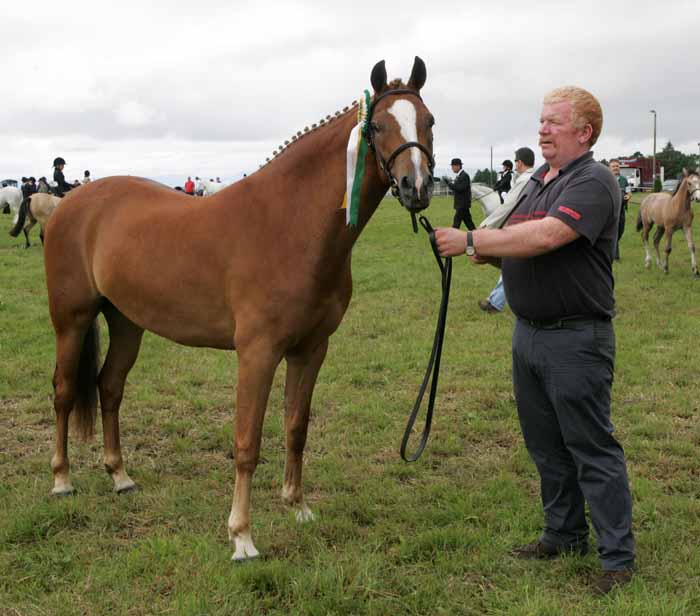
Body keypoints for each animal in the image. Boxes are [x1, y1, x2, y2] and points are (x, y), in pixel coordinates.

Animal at [42, 57, 432, 564]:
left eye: (429, 122)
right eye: (380, 126)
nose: (417, 186)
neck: (290, 224)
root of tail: (68, 203)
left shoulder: (311, 349)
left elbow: (296, 427)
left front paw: (298, 506)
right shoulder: (257, 353)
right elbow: (247, 442)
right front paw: (242, 537)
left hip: (127, 322)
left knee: (109, 387)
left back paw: (120, 476)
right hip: (71, 320)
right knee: (66, 391)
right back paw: (62, 480)